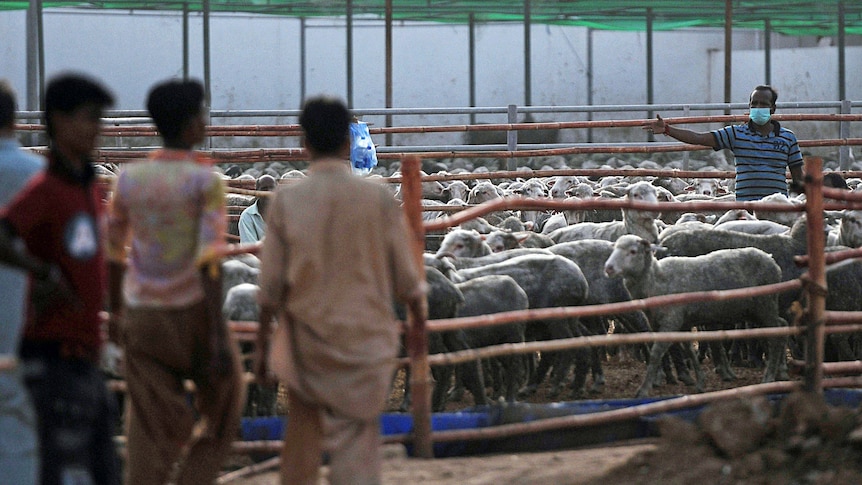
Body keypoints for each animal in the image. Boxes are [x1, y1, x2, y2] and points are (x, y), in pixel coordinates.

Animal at [608, 234, 788, 398]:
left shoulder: (671, 322)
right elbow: (689, 351)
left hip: (765, 305)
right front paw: (700, 382)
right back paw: (780, 372)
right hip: (756, 310)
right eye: (614, 248)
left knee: (775, 336)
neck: (655, 280)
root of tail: (773, 262)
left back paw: (769, 377)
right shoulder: (678, 323)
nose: (608, 267)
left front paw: (643, 390)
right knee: (782, 325)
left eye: (633, 251)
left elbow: (656, 354)